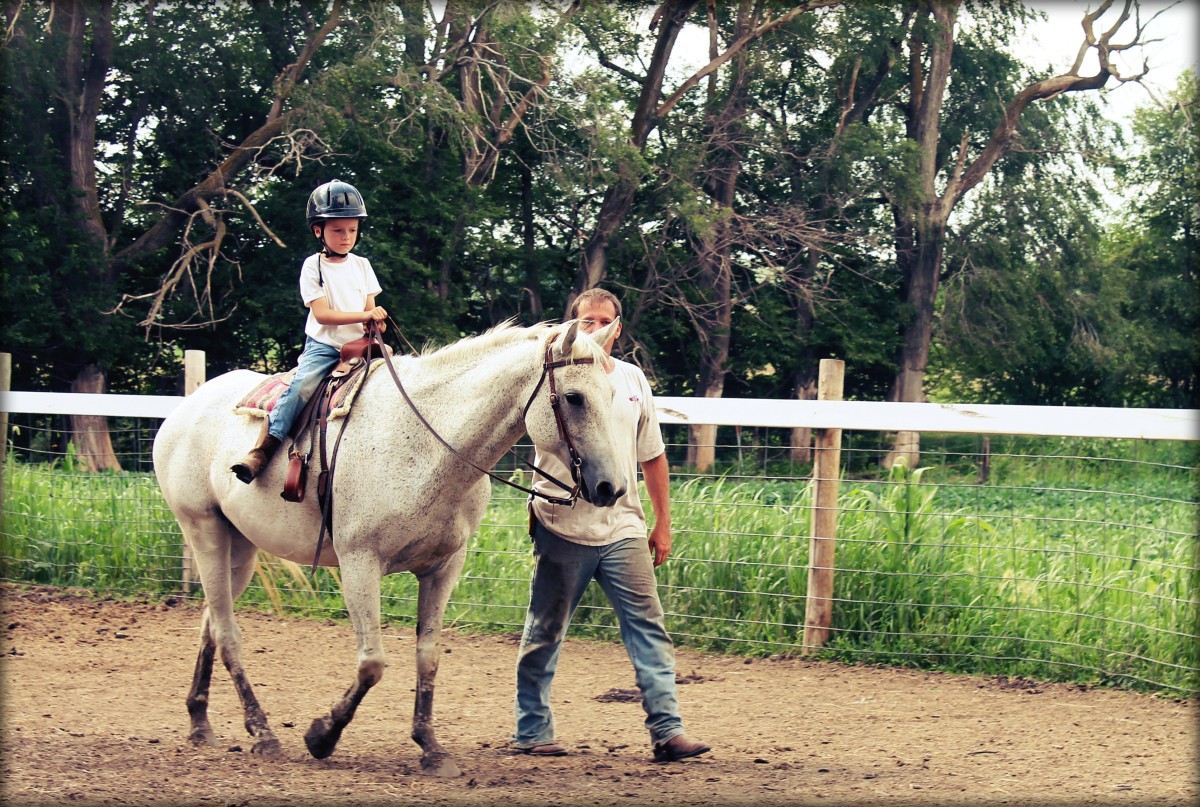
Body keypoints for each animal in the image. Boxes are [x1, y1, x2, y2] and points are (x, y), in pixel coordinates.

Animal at [151, 319, 624, 773]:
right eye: (575, 397)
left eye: (612, 393)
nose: (611, 487)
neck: (427, 443)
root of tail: (187, 407)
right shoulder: (360, 563)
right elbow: (372, 662)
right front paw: (321, 736)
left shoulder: (444, 567)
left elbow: (428, 656)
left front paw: (430, 747)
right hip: (205, 531)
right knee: (226, 632)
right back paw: (263, 733)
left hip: (241, 545)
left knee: (211, 623)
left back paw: (200, 721)